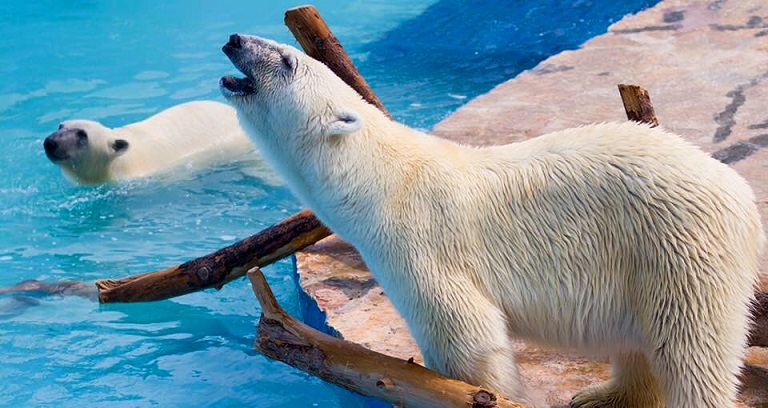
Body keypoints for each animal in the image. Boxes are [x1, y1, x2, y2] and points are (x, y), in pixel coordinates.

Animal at [219, 33, 764, 406]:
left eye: (286, 60)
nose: (235, 39)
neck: (381, 181)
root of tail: (741, 196)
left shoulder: (419, 244)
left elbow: (468, 340)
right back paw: (602, 397)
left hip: (680, 247)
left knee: (690, 348)